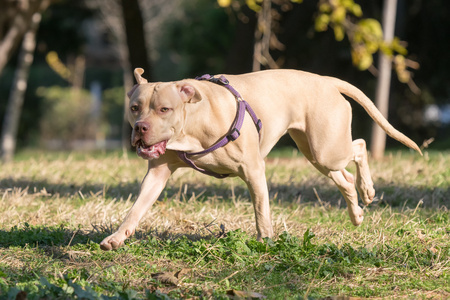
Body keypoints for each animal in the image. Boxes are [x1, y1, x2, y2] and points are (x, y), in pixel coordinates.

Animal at [99, 68, 422, 251]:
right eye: (135, 107)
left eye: (164, 109)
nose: (141, 128)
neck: (193, 122)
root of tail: (325, 80)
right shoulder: (157, 173)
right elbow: (136, 209)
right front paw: (117, 237)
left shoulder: (253, 169)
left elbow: (260, 211)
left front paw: (266, 242)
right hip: (317, 153)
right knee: (345, 177)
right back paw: (356, 213)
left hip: (327, 148)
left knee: (360, 147)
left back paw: (368, 191)